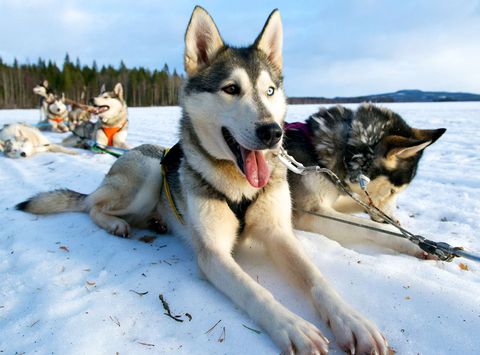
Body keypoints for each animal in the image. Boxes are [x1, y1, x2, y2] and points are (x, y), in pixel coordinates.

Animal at [17, 6, 394, 354]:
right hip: (149, 174)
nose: (272, 132)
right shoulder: (214, 254)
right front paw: (293, 327)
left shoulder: (278, 233)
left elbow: (317, 280)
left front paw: (352, 321)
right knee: (92, 206)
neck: (239, 187)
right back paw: (115, 224)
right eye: (231, 89)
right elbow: (256, 291)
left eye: (270, 90)